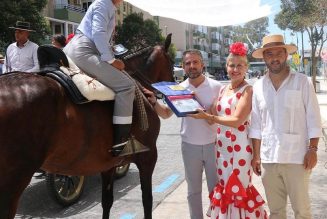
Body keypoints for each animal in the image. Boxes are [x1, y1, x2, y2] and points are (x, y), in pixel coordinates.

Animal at [0, 34, 176, 219]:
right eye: (171, 61)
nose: (173, 84)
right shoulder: (148, 157)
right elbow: (147, 200)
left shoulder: (108, 164)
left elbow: (107, 201)